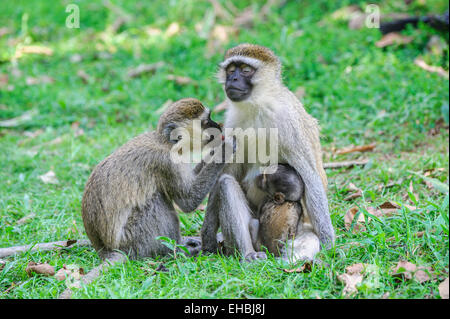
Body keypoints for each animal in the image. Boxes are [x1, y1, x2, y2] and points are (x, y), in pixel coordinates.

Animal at [201, 43, 334, 262]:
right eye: (231, 69)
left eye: (246, 70)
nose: (233, 79)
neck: (257, 105)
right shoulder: (233, 124)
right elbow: (226, 173)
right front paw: (207, 236)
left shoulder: (288, 120)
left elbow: (310, 176)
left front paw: (329, 244)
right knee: (226, 183)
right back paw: (248, 254)